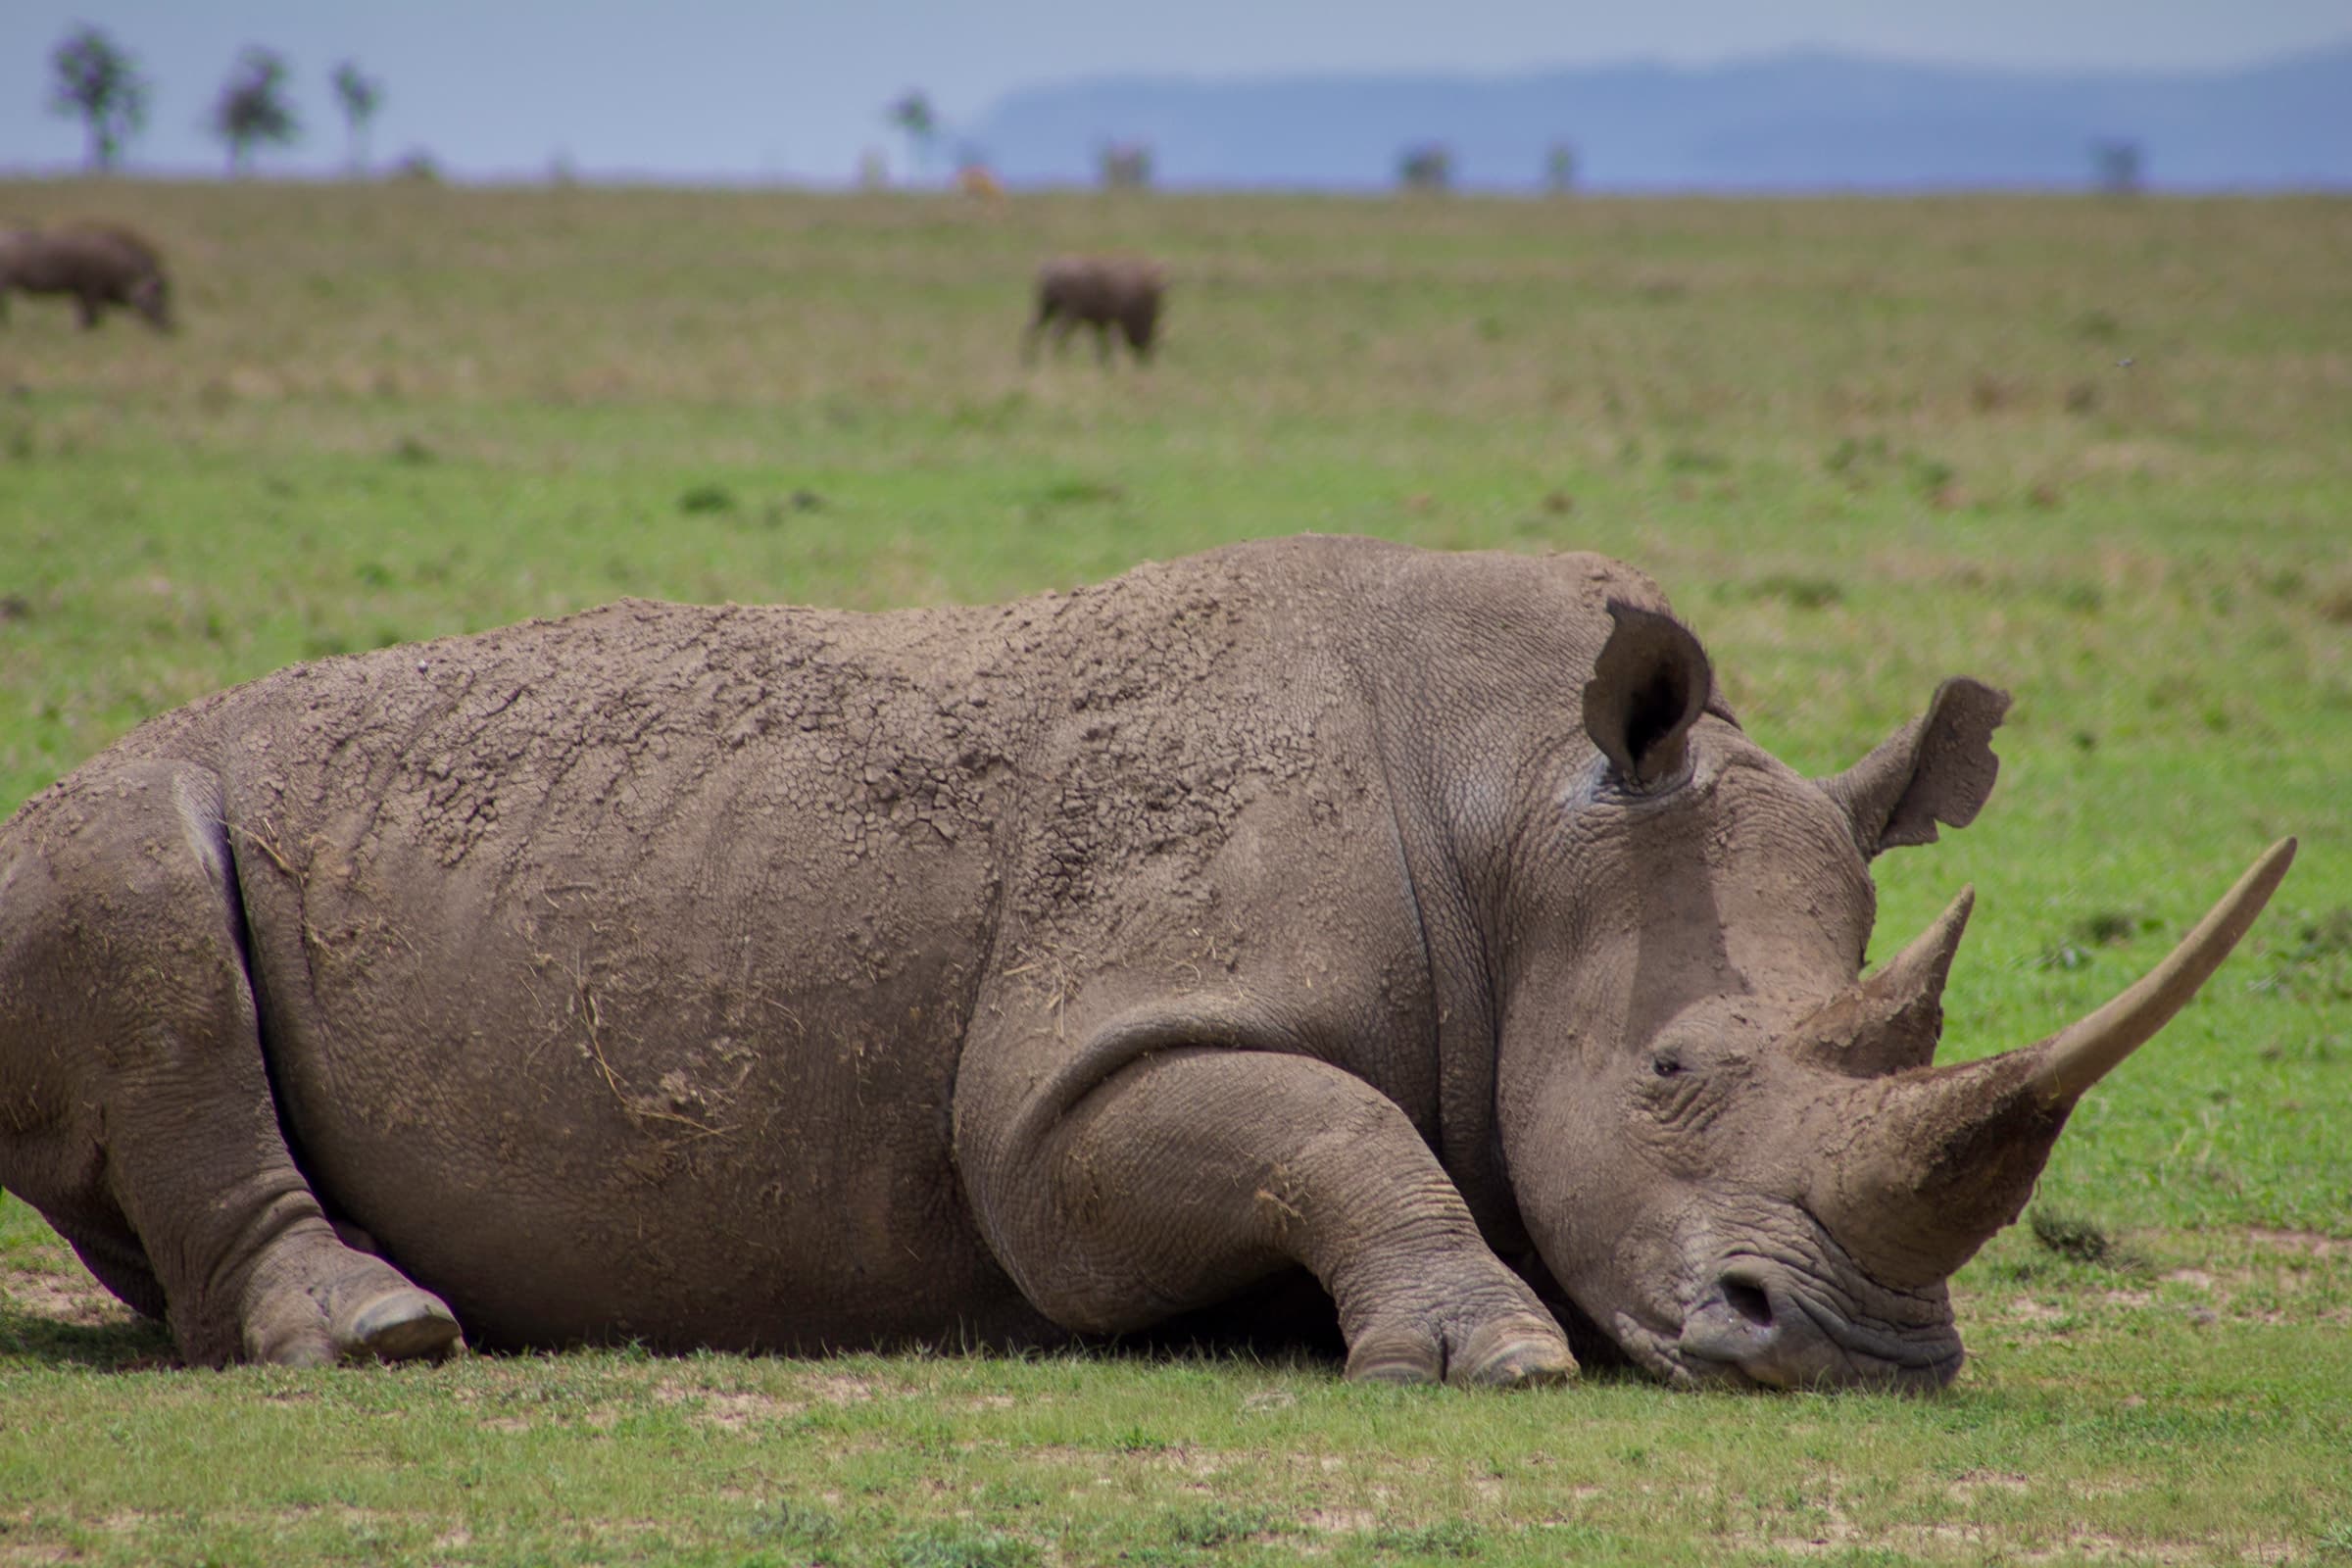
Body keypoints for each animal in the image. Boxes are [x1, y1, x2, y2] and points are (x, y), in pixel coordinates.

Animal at [0, 222, 175, 332]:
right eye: (158, 295)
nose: (172, 329)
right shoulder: (91, 290)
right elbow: (91, 317)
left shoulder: (80, 291)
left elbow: (85, 316)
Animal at [0, 536, 2291, 1384]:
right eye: (1669, 1078)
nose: (1862, 1350)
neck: (1523, 808)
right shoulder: (1076, 1087)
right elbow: (1335, 1129)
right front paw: (1493, 1354)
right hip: (94, 822)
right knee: (140, 890)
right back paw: (389, 1335)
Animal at [1023, 254, 1165, 365]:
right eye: (1150, 325)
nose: (1146, 361)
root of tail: (1050, 271)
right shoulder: (1111, 321)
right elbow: (1105, 345)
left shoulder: (1100, 323)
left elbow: (1101, 346)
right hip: (1067, 314)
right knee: (1055, 335)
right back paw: (1057, 361)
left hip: (1046, 308)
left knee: (1032, 330)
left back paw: (1029, 361)